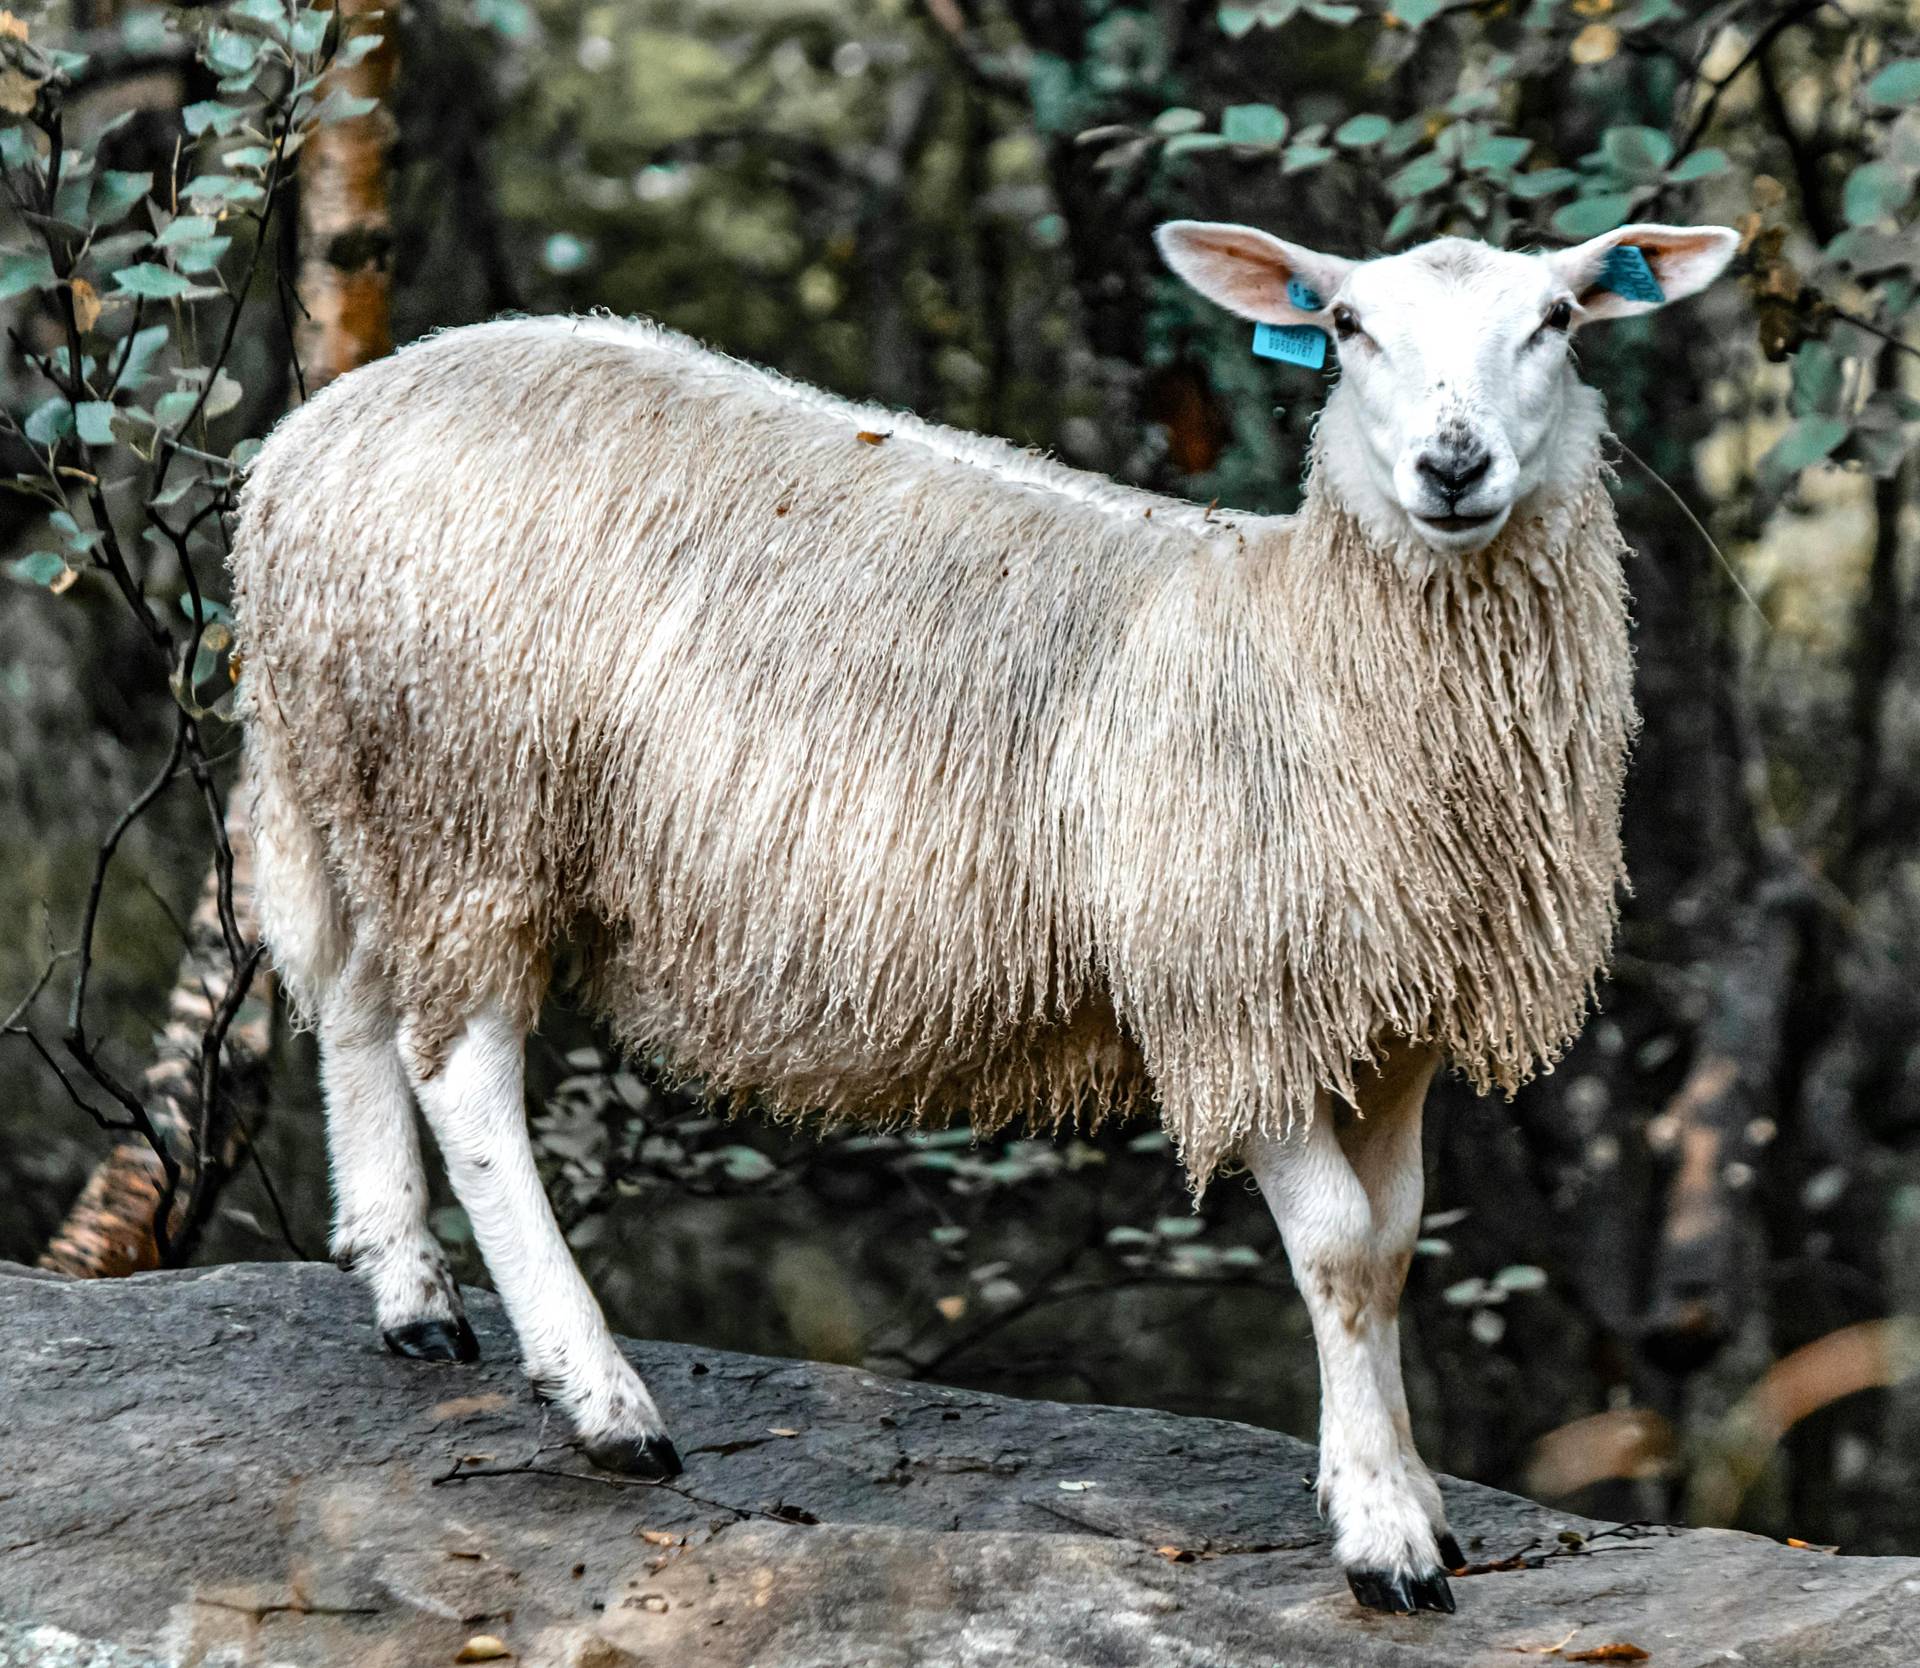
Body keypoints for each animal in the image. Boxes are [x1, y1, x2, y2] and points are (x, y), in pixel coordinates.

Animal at [229, 218, 1738, 1616]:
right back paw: (603, 1398)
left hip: (368, 776)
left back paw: (409, 1294)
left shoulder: (1393, 1021)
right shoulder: (1231, 995)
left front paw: (1408, 1491)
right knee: (461, 1071)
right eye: (1348, 326)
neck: (1303, 642)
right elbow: (1338, 1256)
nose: (1453, 466)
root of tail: (307, 444)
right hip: (470, 793)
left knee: (353, 1003)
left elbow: (1394, 1245)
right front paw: (1381, 1532)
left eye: (1556, 319)